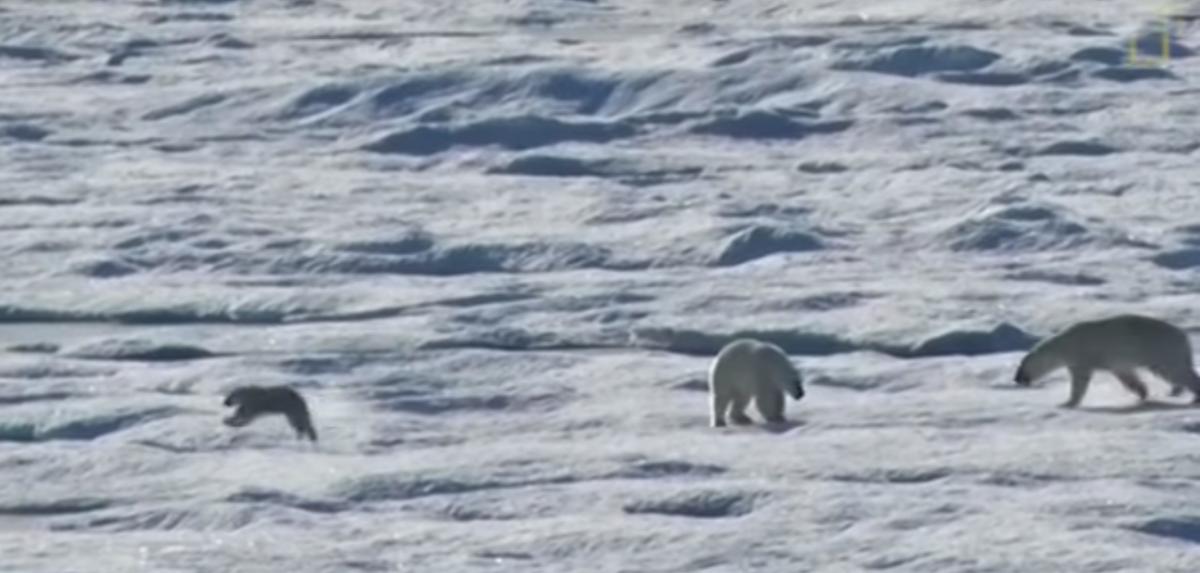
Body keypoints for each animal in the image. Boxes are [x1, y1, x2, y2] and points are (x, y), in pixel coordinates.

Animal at [1012, 314, 1200, 407]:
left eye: (1021, 368)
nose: (1016, 379)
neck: (1063, 344)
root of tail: (1184, 335)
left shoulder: (1080, 355)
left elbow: (1080, 380)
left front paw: (1067, 403)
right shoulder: (1116, 362)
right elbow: (1126, 375)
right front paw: (1142, 393)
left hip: (1160, 348)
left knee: (1175, 370)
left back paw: (1194, 396)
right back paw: (1176, 391)